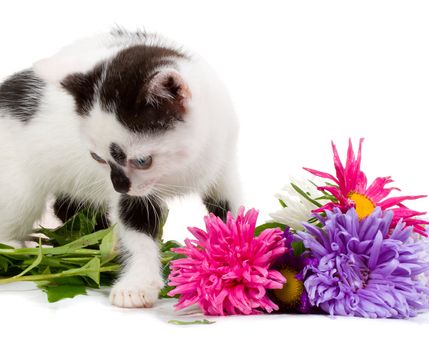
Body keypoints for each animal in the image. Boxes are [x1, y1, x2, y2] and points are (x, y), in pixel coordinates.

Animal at [0, 28, 241, 308]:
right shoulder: (131, 193)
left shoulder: (223, 162)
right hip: (17, 185)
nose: (118, 186)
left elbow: (233, 214)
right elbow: (136, 226)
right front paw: (137, 284)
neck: (179, 169)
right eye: (97, 157)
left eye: (142, 161)